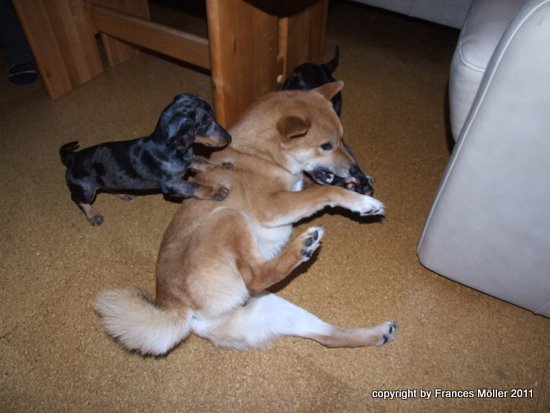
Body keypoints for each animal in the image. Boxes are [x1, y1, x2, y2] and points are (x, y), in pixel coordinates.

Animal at [60, 93, 231, 226]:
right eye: (206, 122)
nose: (229, 138)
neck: (170, 148)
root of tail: (73, 156)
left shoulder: (190, 160)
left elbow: (205, 163)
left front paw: (223, 165)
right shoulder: (171, 185)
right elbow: (193, 185)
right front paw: (216, 190)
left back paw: (124, 194)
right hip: (87, 189)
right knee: (77, 198)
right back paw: (93, 214)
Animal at [93, 81, 396, 355]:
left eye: (342, 138)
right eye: (326, 145)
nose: (355, 169)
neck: (260, 154)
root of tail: (179, 308)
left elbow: (315, 185)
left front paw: (358, 185)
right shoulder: (273, 205)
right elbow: (325, 190)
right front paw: (363, 202)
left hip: (272, 309)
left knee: (329, 338)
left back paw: (378, 332)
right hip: (228, 217)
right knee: (255, 277)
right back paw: (303, 246)